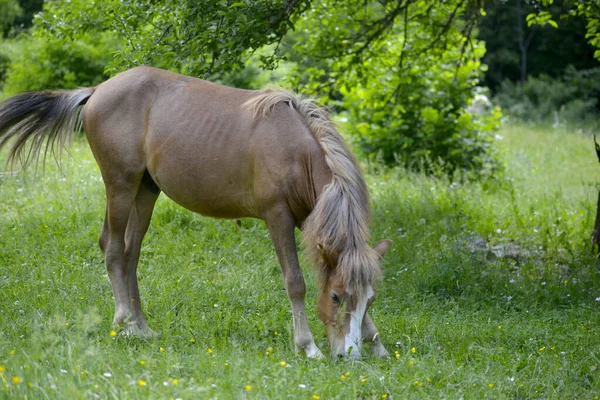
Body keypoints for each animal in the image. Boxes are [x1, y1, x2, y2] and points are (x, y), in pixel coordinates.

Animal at [0, 66, 392, 360]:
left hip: (145, 191)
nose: (349, 356)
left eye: (370, 300)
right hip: (120, 185)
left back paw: (142, 328)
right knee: (111, 248)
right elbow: (295, 282)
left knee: (129, 254)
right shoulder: (278, 218)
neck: (296, 152)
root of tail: (98, 90)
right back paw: (125, 321)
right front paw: (308, 346)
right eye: (336, 297)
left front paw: (377, 344)